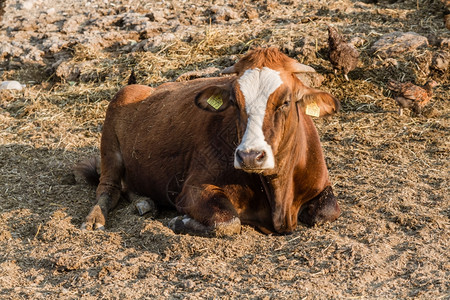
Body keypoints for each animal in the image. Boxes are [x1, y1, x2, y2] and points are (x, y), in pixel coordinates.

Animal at [77, 47, 340, 236]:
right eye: (235, 102)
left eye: (285, 102)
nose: (250, 156)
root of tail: (143, 88)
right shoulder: (192, 189)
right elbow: (229, 222)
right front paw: (179, 221)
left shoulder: (323, 185)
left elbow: (327, 212)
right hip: (111, 144)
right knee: (107, 189)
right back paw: (95, 219)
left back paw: (144, 202)